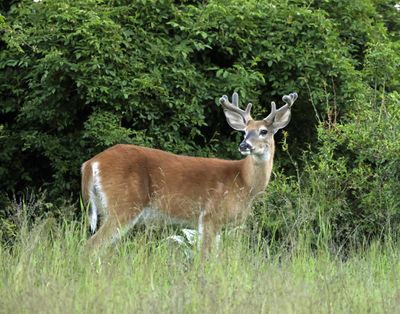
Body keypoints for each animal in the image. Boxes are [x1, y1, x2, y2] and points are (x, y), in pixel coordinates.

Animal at [81, 91, 298, 255]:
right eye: (244, 132)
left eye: (263, 131)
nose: (244, 145)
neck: (244, 181)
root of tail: (90, 163)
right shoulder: (210, 215)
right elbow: (205, 257)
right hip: (124, 204)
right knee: (91, 246)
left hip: (106, 207)